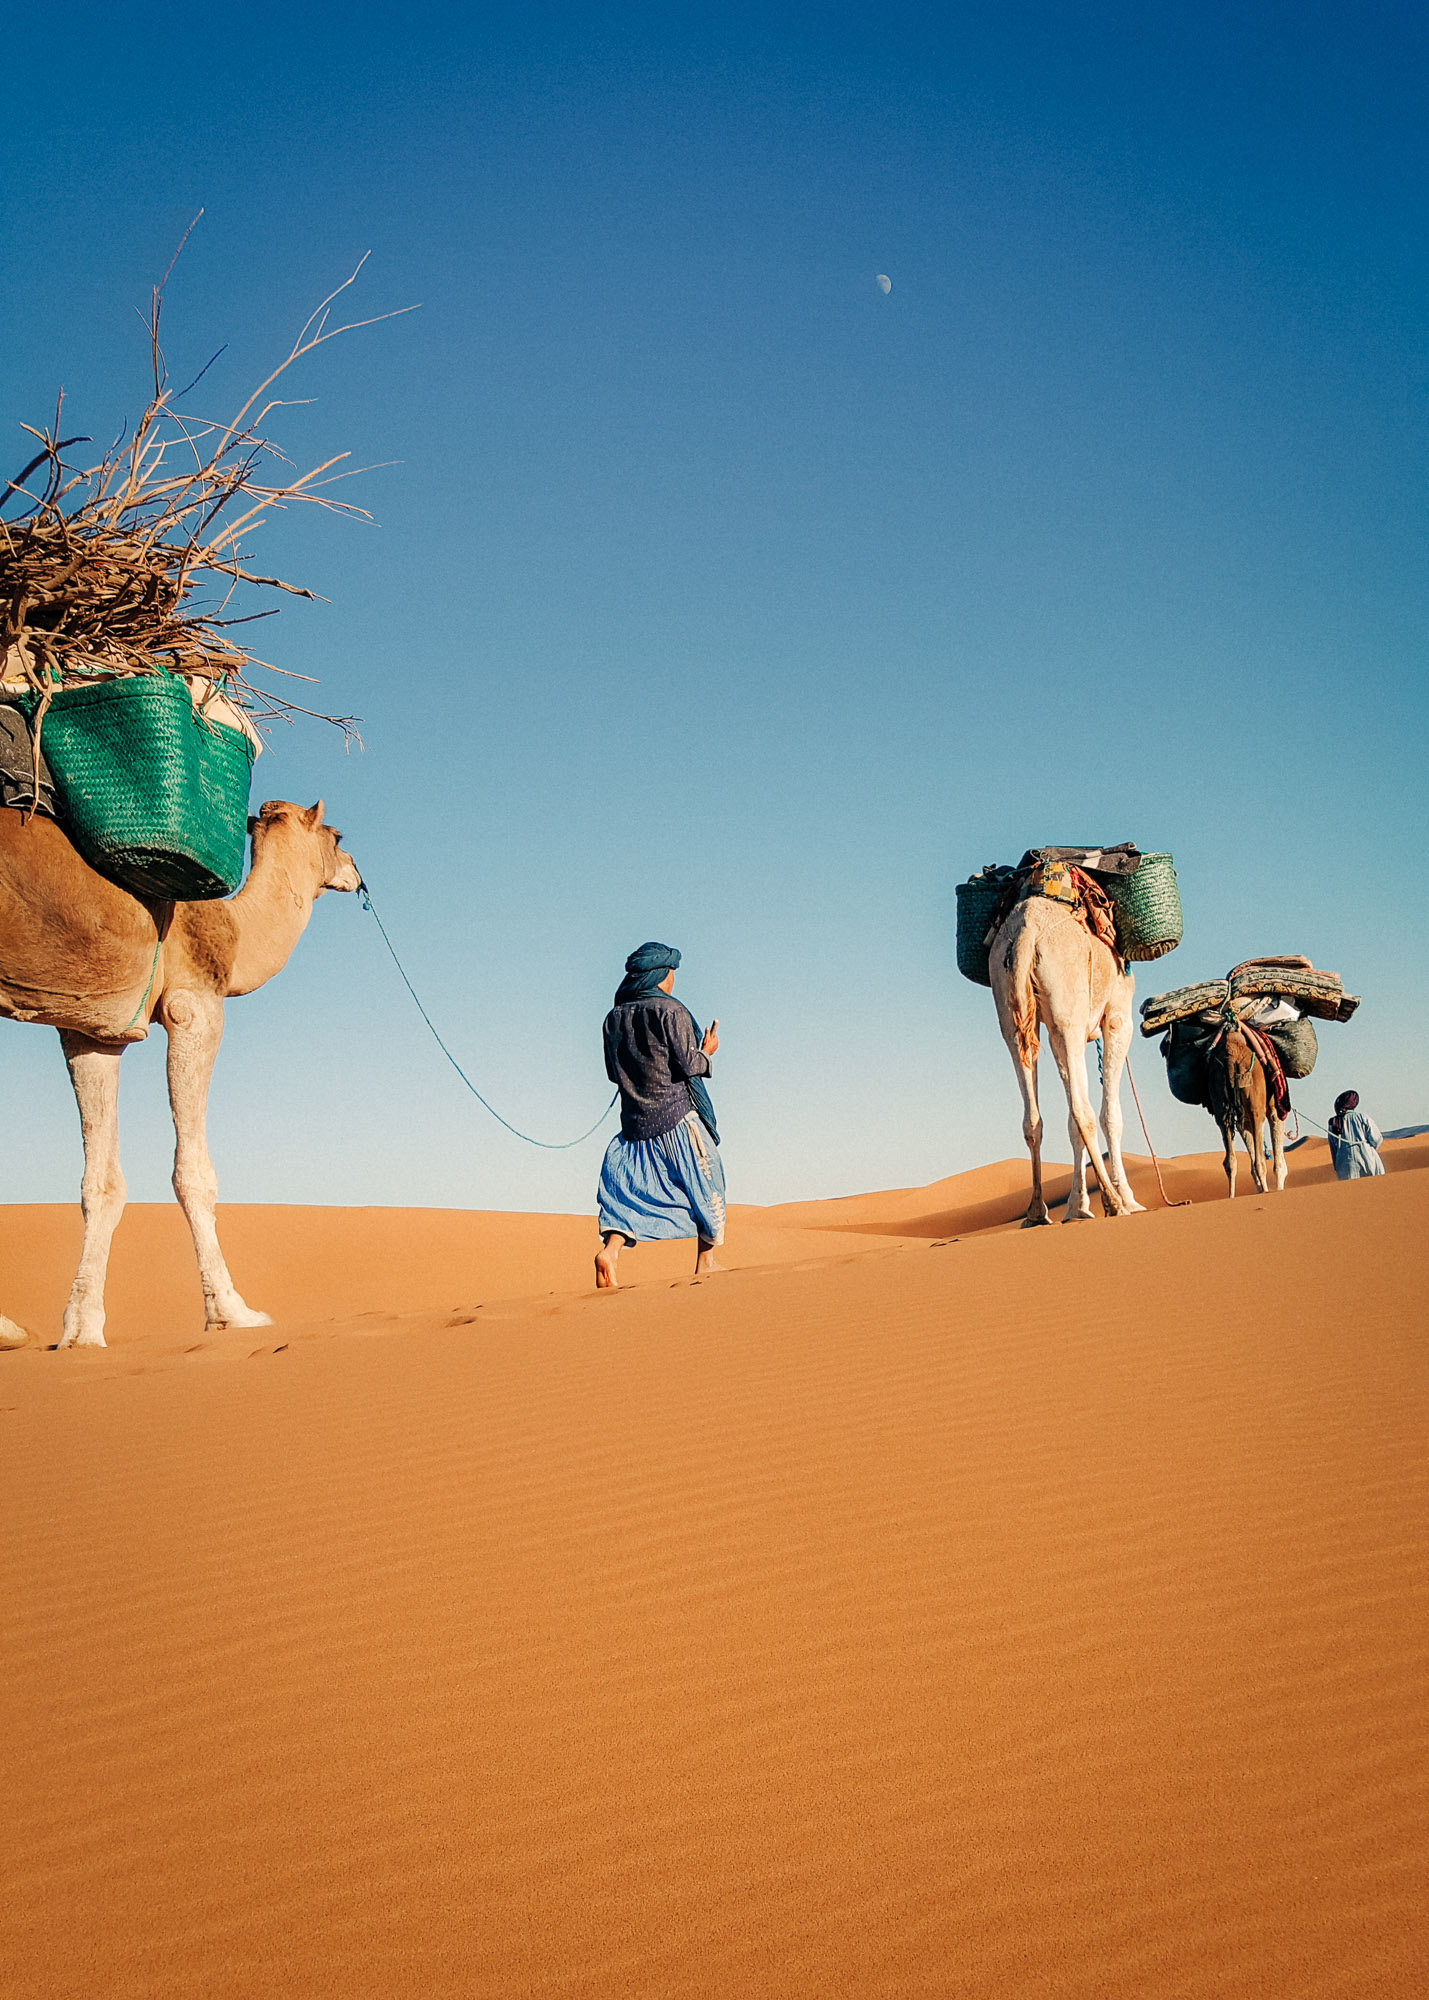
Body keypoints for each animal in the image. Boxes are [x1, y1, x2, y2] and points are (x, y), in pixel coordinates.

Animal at [0, 799, 360, 1347]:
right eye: (337, 836)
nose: (357, 872)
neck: (233, 928)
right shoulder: (194, 1005)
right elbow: (193, 1173)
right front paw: (233, 1314)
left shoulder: (92, 1030)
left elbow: (101, 1182)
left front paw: (81, 1330)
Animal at [989, 893, 1145, 1226]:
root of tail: (1026, 929)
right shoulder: (1118, 1016)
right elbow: (1110, 1115)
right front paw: (1128, 1199)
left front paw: (1077, 1207)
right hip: (1066, 1001)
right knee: (1082, 1110)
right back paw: (1114, 1203)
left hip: (1012, 1010)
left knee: (1034, 1116)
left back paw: (1037, 1212)